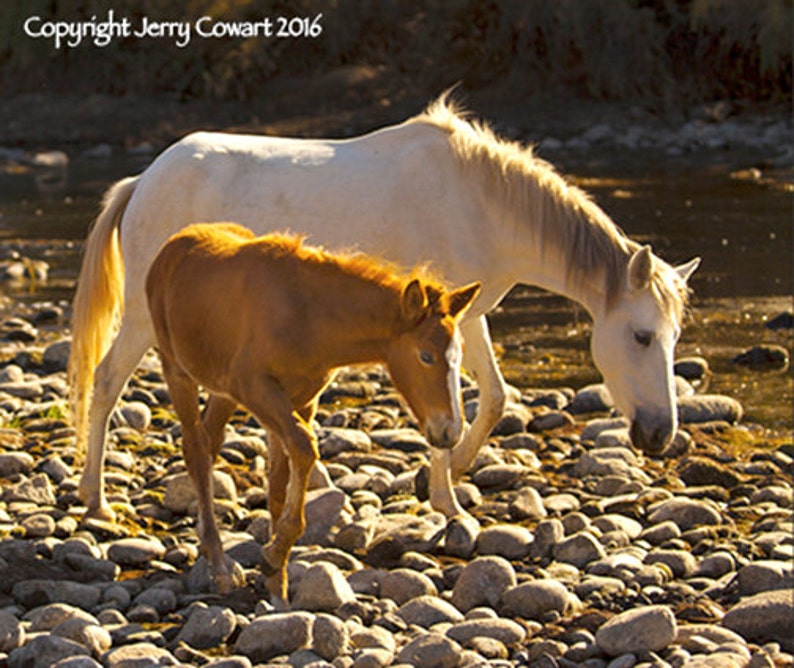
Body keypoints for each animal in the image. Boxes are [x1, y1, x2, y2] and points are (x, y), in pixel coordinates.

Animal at [69, 94, 700, 520]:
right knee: (106, 383)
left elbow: (493, 399)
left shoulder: (467, 316)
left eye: (674, 338)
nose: (658, 435)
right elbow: (454, 405)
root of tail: (144, 179)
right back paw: (95, 499)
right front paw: (447, 502)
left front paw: (456, 470)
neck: (480, 203)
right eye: (641, 336)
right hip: (143, 318)